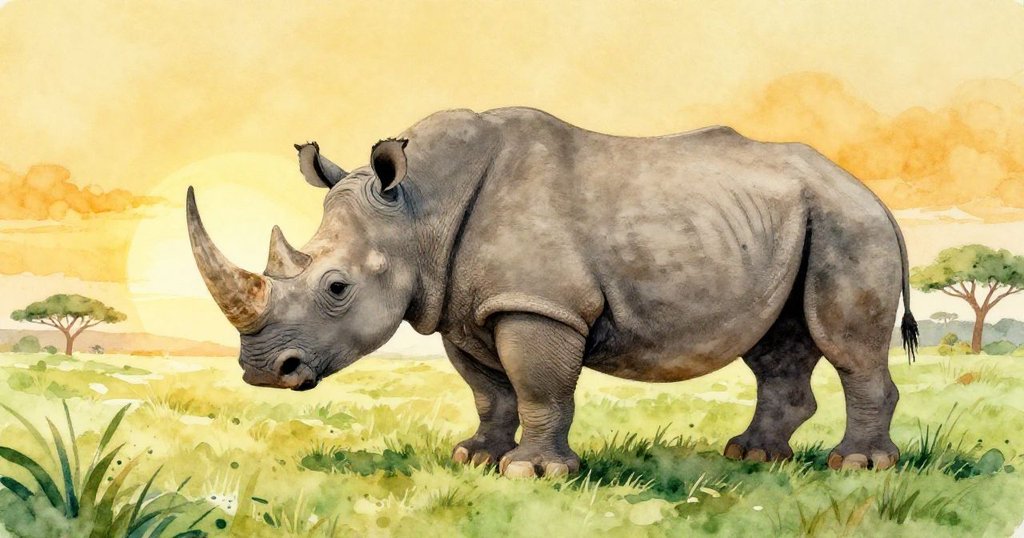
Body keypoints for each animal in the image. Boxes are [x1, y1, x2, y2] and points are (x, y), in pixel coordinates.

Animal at [186, 107, 918, 478]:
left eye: (337, 286)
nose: (263, 372)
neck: (418, 210)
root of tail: (871, 191)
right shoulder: (462, 306)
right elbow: (489, 390)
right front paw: (474, 458)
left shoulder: (539, 305)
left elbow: (539, 387)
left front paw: (532, 474)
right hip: (795, 220)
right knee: (777, 344)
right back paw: (753, 457)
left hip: (847, 222)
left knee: (845, 343)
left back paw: (858, 467)